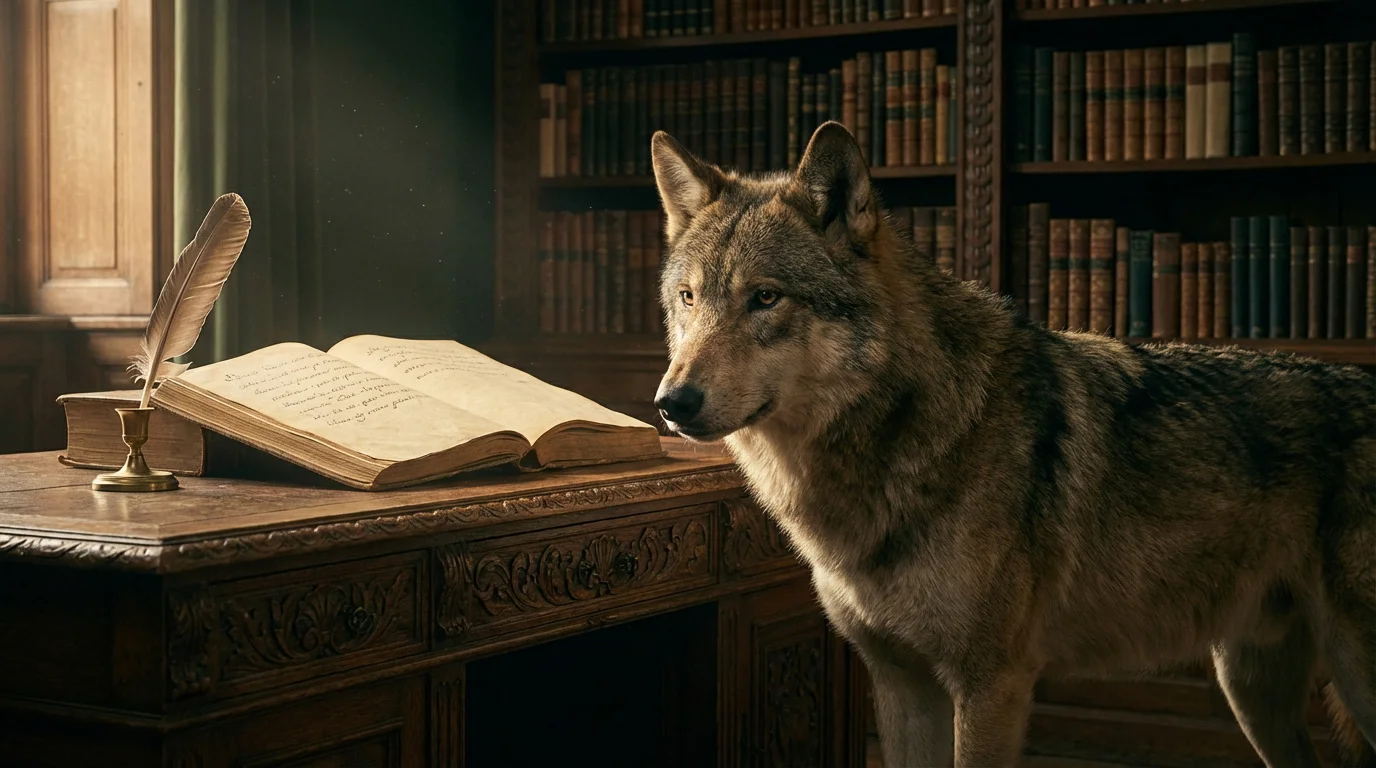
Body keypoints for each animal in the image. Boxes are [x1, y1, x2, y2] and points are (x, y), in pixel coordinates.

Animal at [648, 120, 1376, 767]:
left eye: (766, 298)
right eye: (688, 298)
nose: (670, 403)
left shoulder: (991, 685)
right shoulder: (903, 685)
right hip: (1252, 691)